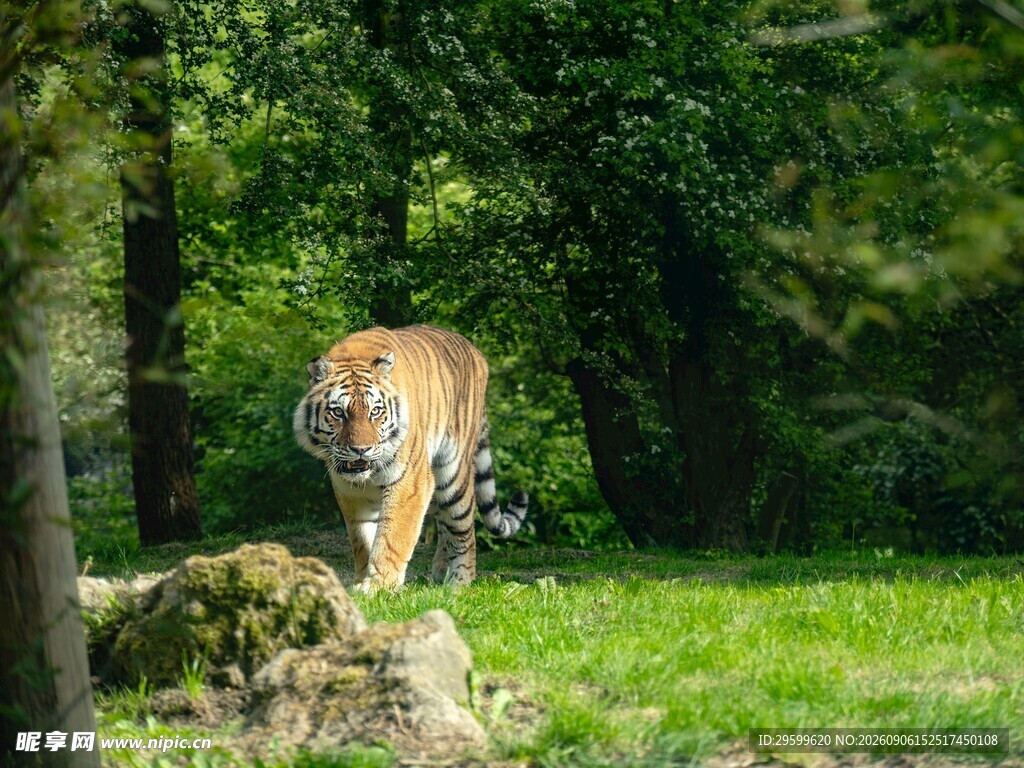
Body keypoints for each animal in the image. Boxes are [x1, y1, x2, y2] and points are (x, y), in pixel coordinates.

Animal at [293, 324, 528, 591]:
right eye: (338, 412)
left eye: (375, 411)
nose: (361, 449)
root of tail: (477, 352)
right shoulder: (349, 491)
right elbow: (362, 540)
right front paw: (362, 581)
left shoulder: (410, 483)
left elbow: (392, 537)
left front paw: (378, 586)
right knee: (444, 525)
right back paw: (440, 574)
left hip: (453, 474)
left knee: (463, 529)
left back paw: (459, 583)